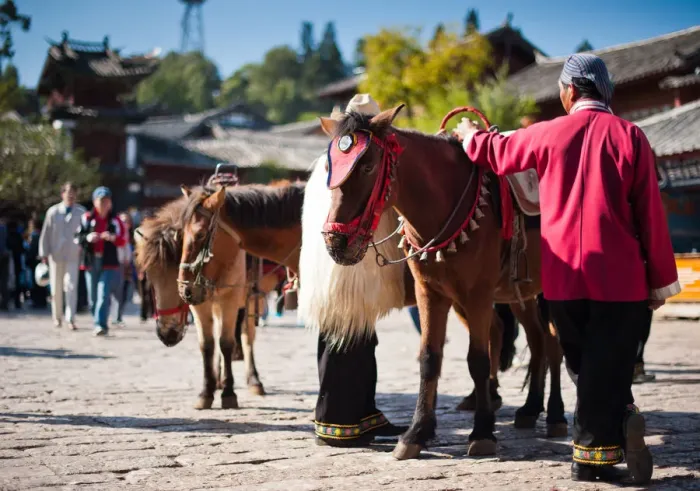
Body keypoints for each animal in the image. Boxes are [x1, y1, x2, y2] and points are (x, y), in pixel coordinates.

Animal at [133, 196, 267, 410]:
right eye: (150, 275)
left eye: (175, 271)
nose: (167, 333)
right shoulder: (198, 303)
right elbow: (207, 345)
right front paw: (207, 391)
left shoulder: (230, 297)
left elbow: (226, 343)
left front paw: (229, 393)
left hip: (252, 298)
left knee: (247, 337)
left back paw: (253, 380)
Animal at [318, 107, 566, 460]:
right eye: (330, 168)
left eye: (367, 166)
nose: (336, 241)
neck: (443, 205)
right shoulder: (430, 293)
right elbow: (429, 358)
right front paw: (416, 433)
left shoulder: (478, 295)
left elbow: (478, 359)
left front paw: (482, 432)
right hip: (521, 293)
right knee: (538, 340)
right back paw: (530, 409)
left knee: (554, 345)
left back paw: (556, 415)